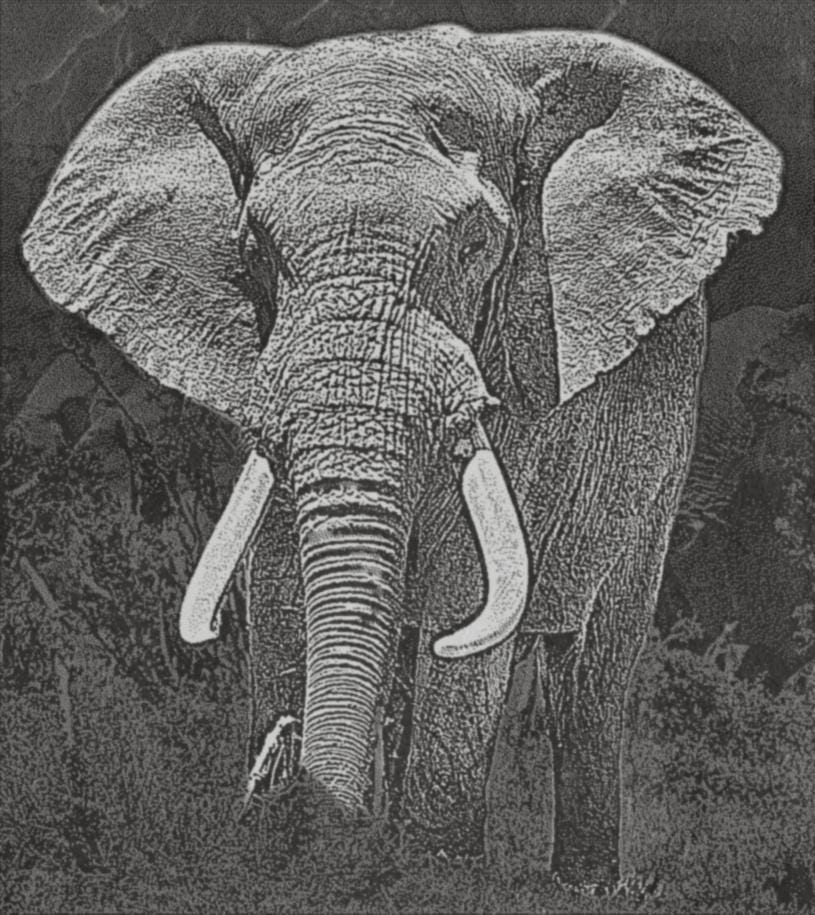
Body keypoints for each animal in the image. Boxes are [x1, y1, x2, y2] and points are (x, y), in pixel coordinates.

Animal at [21, 25, 781, 885]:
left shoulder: (519, 367)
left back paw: (584, 879)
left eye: (477, 243)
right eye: (254, 247)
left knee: (591, 670)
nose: (281, 763)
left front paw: (434, 871)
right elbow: (279, 581)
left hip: (668, 445)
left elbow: (467, 593)